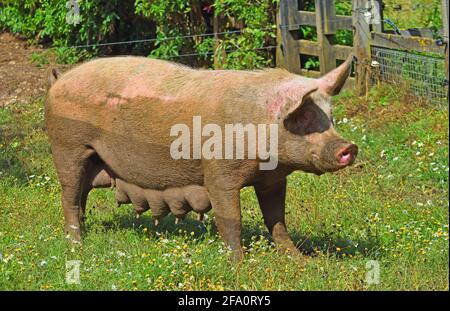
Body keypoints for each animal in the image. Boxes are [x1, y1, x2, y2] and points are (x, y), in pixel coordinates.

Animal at [44, 54, 356, 264]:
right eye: (303, 116)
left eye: (329, 116)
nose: (349, 147)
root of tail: (59, 79)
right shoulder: (219, 174)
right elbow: (231, 219)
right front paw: (239, 265)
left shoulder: (272, 181)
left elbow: (277, 219)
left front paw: (300, 260)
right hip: (68, 147)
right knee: (69, 195)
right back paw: (76, 244)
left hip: (92, 158)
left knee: (81, 195)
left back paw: (83, 232)